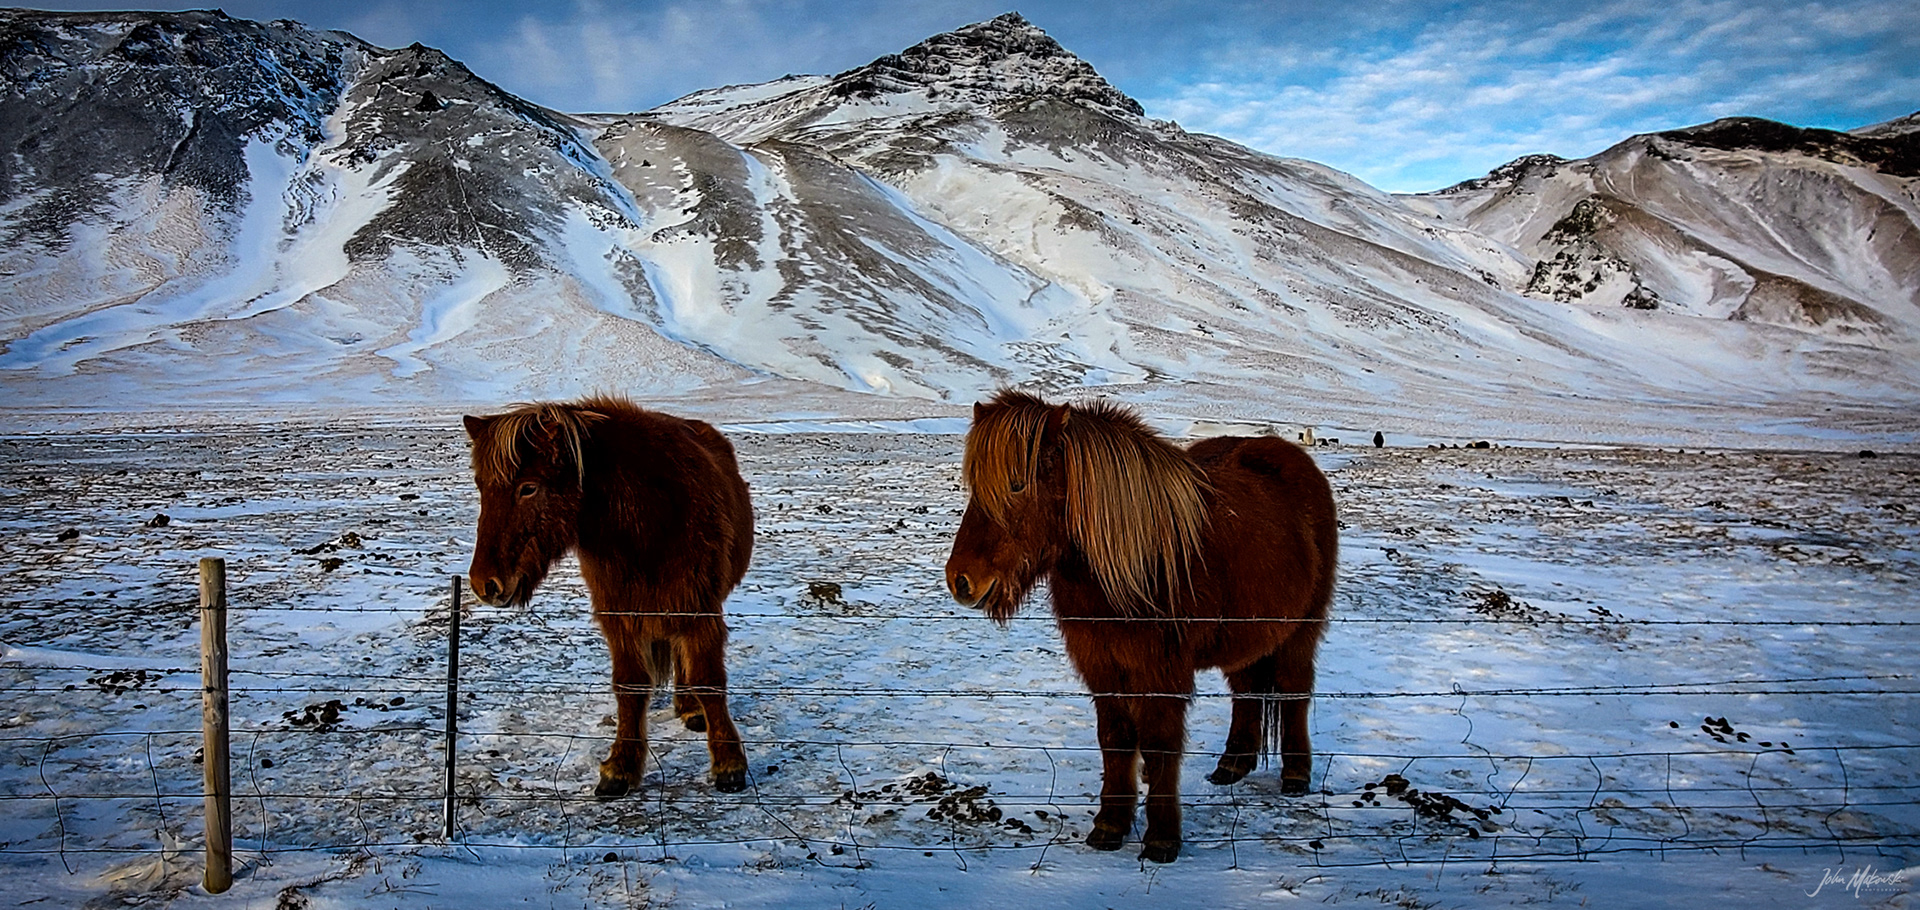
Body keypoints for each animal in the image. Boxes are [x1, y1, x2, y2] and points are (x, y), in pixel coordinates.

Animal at [463, 396, 753, 796]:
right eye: (481, 486)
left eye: (528, 488)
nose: (484, 584)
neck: (648, 522)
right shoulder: (620, 616)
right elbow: (629, 686)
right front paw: (621, 768)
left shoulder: (698, 608)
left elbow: (708, 680)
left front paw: (728, 764)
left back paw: (692, 710)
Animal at [943, 390, 1336, 863]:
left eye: (1017, 484)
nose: (961, 580)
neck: (1135, 562)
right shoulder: (1100, 664)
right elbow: (1114, 739)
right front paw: (1110, 824)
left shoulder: (1160, 671)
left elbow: (1159, 743)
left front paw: (1162, 837)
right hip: (1246, 635)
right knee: (1246, 689)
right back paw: (1232, 765)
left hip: (1301, 629)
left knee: (1295, 689)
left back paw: (1296, 775)